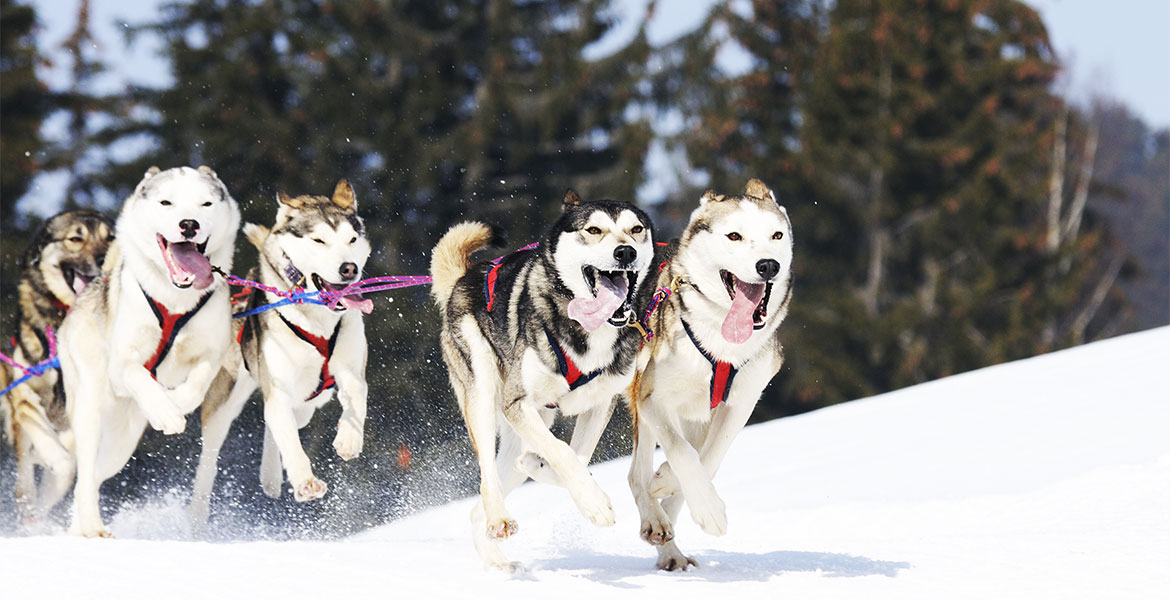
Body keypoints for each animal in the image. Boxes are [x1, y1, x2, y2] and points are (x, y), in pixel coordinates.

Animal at [0, 208, 113, 516]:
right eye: (75, 239)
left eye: (110, 238)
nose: (104, 257)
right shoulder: (24, 392)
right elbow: (56, 457)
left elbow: (67, 464)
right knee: (26, 477)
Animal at [55, 166, 239, 535]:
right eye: (166, 202)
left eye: (206, 203)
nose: (189, 224)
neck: (175, 300)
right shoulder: (123, 364)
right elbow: (139, 374)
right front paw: (166, 412)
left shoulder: (212, 353)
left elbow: (196, 385)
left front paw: (175, 404)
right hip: (90, 410)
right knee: (85, 477)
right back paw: (92, 526)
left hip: (121, 444)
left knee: (94, 476)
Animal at [189, 180, 369, 526]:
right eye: (319, 240)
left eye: (352, 240)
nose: (348, 268)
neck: (317, 319)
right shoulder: (279, 384)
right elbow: (287, 437)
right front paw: (305, 481)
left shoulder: (349, 368)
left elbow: (357, 392)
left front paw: (348, 439)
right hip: (227, 399)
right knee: (212, 455)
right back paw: (200, 511)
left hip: (309, 401)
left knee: (277, 421)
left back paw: (270, 477)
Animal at [432, 189, 659, 568]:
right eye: (593, 229)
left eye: (636, 229)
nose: (625, 252)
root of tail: (465, 278)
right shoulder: (518, 403)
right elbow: (562, 453)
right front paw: (594, 503)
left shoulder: (600, 404)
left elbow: (575, 457)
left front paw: (568, 480)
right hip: (483, 394)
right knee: (487, 479)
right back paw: (499, 519)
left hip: (530, 423)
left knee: (482, 502)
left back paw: (498, 561)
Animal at [631, 176, 795, 566]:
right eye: (734, 236)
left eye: (776, 235)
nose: (768, 265)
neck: (721, 344)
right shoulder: (653, 399)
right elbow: (682, 453)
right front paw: (707, 508)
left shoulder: (740, 404)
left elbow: (710, 458)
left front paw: (671, 483)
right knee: (635, 475)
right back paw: (655, 522)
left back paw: (670, 544)